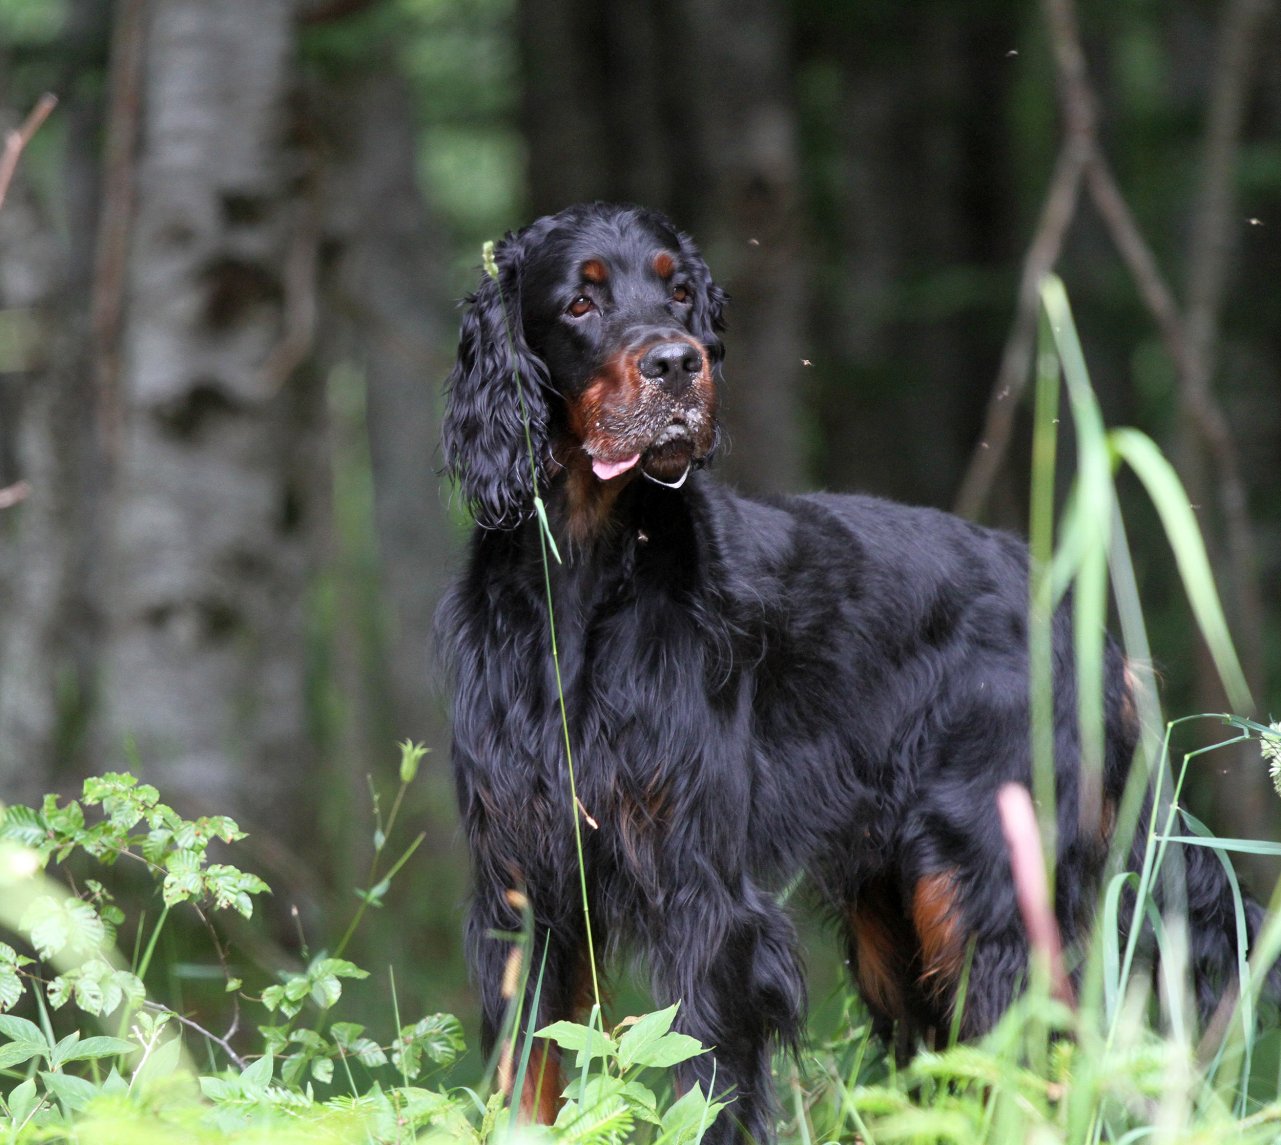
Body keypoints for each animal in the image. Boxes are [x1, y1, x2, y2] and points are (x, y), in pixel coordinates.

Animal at [438, 202, 1260, 1142]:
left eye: (678, 292)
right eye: (580, 300)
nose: (678, 363)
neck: (579, 569)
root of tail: (1083, 627)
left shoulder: (702, 891)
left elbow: (704, 1076)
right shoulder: (522, 883)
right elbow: (525, 1068)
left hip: (983, 883)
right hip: (892, 911)